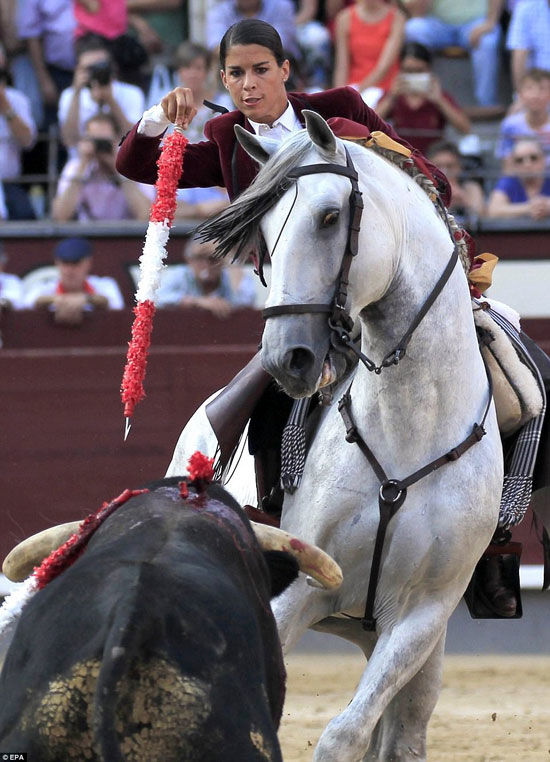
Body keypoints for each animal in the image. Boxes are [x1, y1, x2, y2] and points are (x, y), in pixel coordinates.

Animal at [167, 113, 504, 760]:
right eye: (262, 232)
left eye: (329, 217)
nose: (287, 356)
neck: (410, 427)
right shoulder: (305, 585)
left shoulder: (423, 615)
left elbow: (346, 733)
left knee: (402, 737)